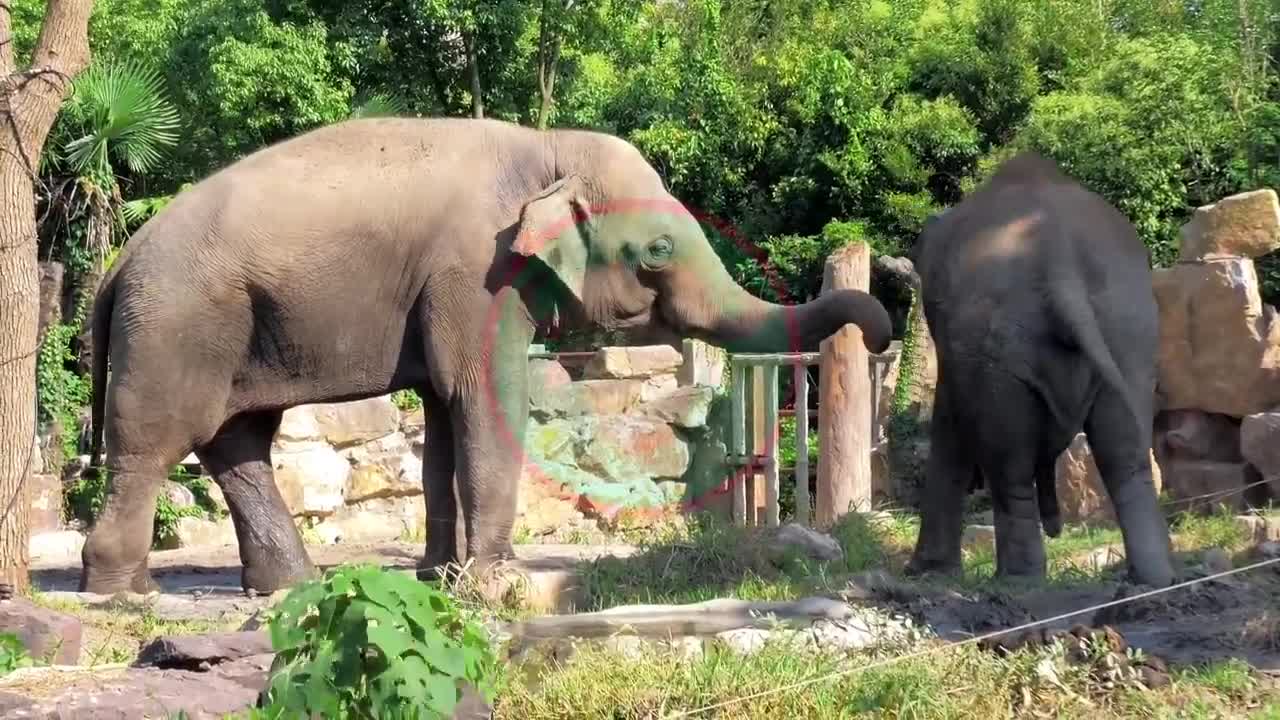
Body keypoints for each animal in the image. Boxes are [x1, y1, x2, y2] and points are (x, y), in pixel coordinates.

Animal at [80, 116, 890, 594]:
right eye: (658, 250)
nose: (882, 331)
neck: (547, 148)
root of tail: (119, 264)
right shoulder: (477, 273)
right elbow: (483, 392)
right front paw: (498, 584)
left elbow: (446, 415)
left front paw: (440, 575)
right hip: (177, 322)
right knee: (156, 442)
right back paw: (123, 593)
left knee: (237, 443)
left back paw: (288, 587)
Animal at [896, 148, 1172, 586]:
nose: (1057, 526)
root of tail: (1060, 267)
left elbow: (951, 420)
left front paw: (926, 572)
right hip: (1128, 331)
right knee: (1125, 452)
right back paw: (1153, 580)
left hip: (1005, 348)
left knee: (1009, 463)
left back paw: (1016, 582)